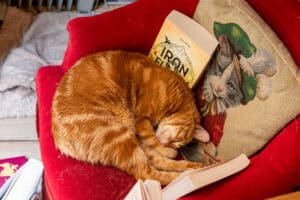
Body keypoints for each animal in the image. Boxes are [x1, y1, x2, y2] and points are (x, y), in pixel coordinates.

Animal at [50, 50, 207, 185]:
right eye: (177, 140)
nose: (168, 144)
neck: (178, 97)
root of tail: (60, 142)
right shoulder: (141, 120)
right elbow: (154, 140)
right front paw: (168, 150)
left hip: (126, 137)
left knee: (154, 163)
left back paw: (194, 167)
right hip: (119, 135)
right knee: (147, 173)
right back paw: (184, 175)